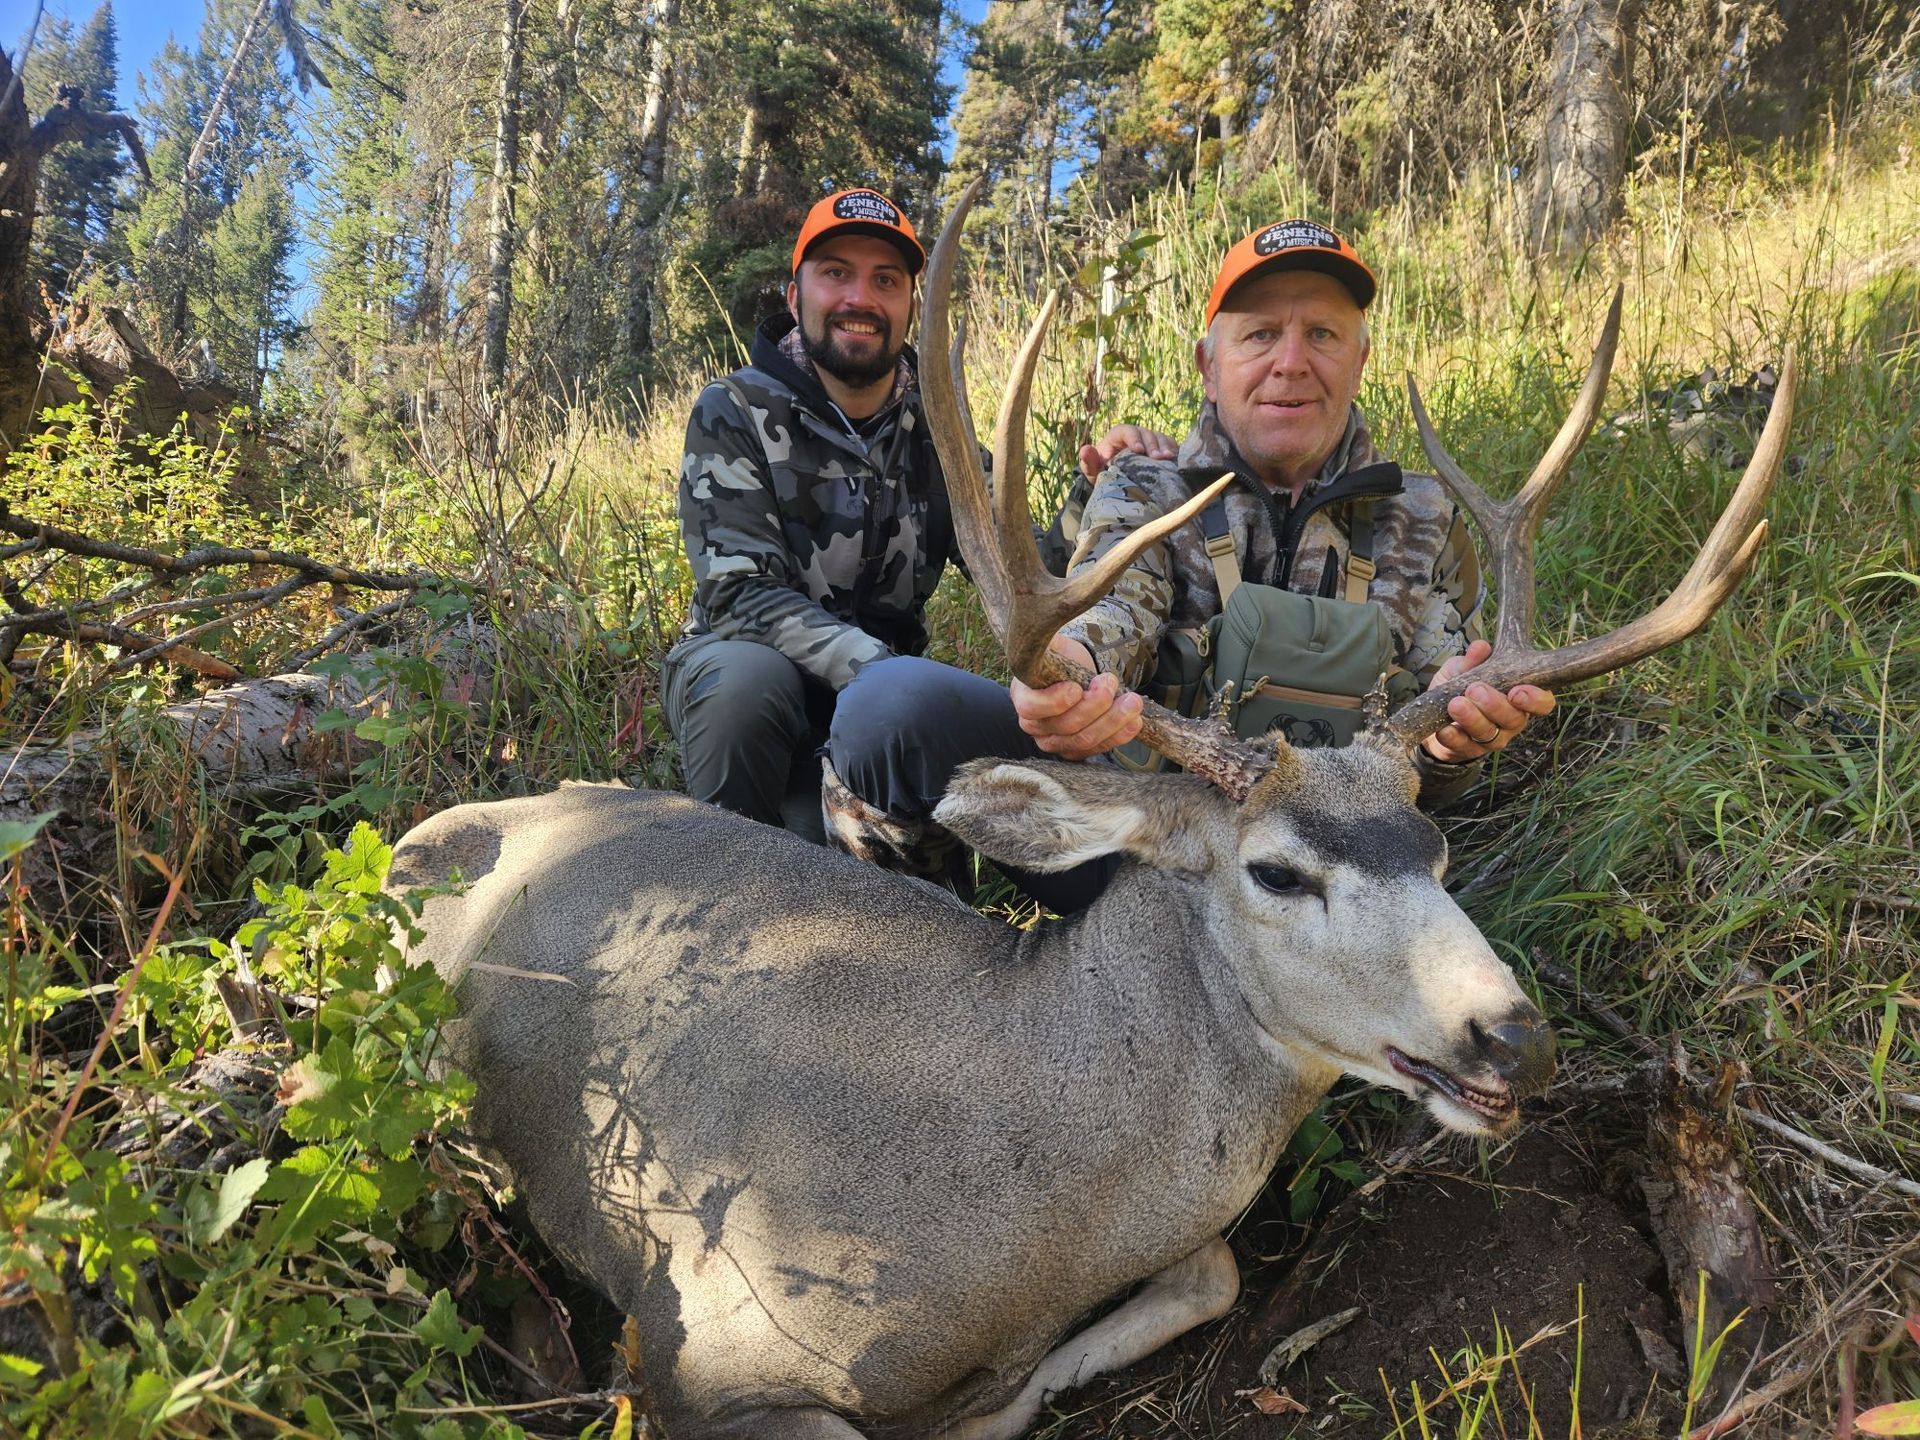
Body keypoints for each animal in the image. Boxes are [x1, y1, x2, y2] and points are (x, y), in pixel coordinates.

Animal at [386, 181, 1793, 1440]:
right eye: (1277, 873)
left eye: (1438, 848)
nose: (1514, 1040)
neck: (1019, 1188)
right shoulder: (702, 1346)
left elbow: (1208, 1272)